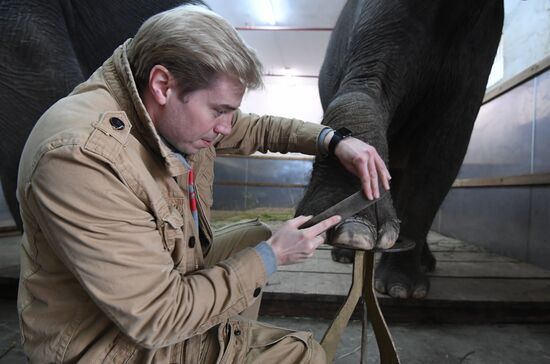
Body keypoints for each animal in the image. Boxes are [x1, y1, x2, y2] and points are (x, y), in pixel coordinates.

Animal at [298, 0, 504, 298]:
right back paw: (346, 252)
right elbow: (368, 82)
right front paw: (355, 231)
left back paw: (423, 263)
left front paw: (401, 290)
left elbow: (445, 148)